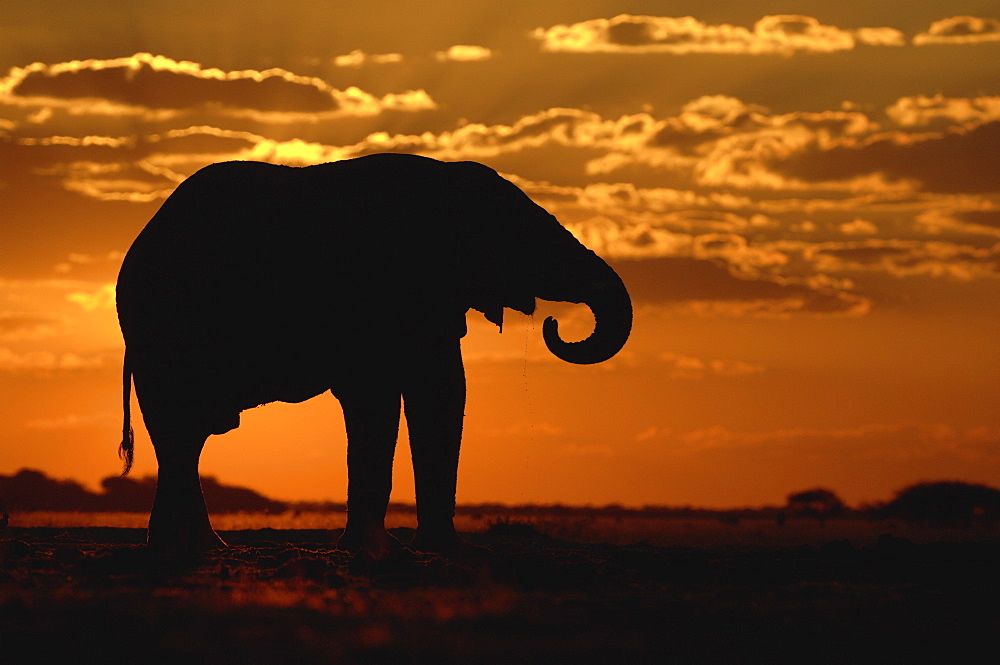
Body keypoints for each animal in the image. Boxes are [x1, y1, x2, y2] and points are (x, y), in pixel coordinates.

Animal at [117, 153, 628, 556]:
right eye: (518, 236)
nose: (553, 324)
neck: (443, 179)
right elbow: (382, 397)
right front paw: (384, 550)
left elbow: (440, 389)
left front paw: (433, 550)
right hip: (163, 329)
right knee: (179, 431)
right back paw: (197, 548)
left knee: (184, 437)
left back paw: (192, 547)